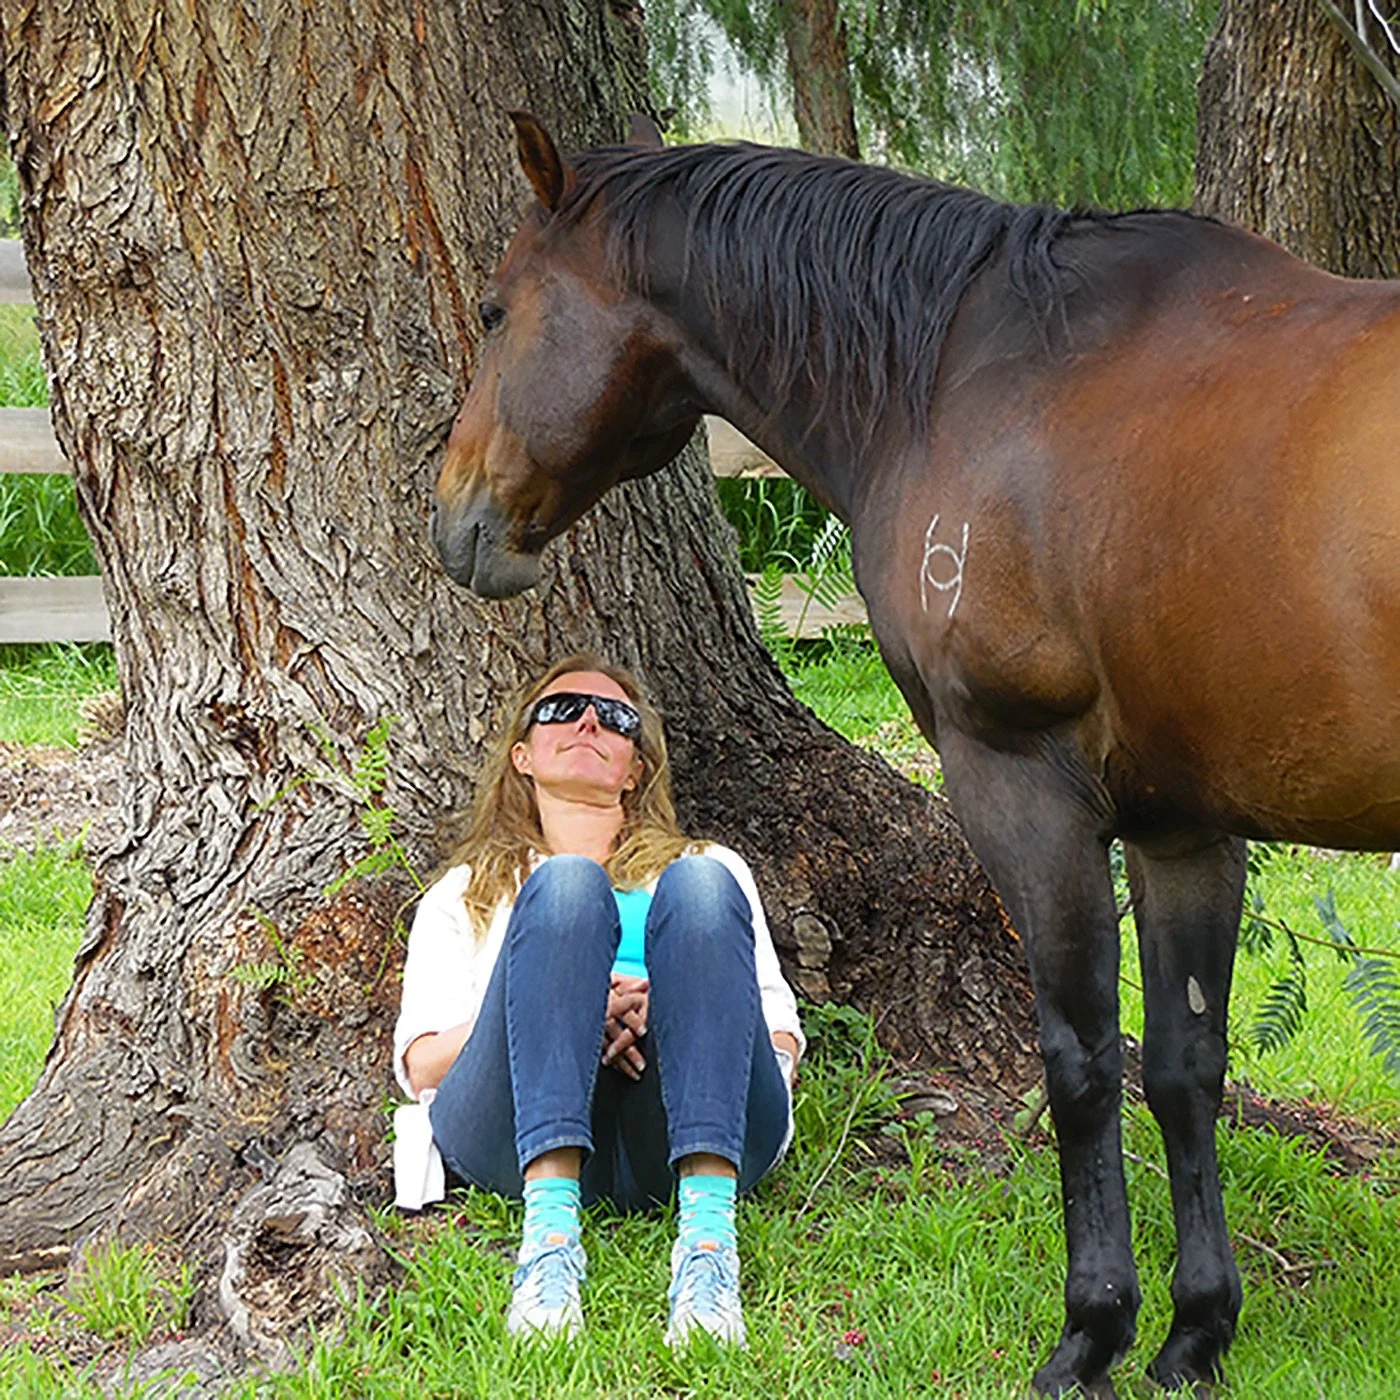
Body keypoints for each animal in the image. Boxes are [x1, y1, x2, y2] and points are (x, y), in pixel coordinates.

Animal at [430, 111, 1400, 1396]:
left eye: (494, 310)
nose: (452, 520)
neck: (961, 376)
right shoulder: (1181, 827)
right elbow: (1183, 1067)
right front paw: (1194, 1330)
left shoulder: (1022, 794)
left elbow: (1080, 1063)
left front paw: (1089, 1328)